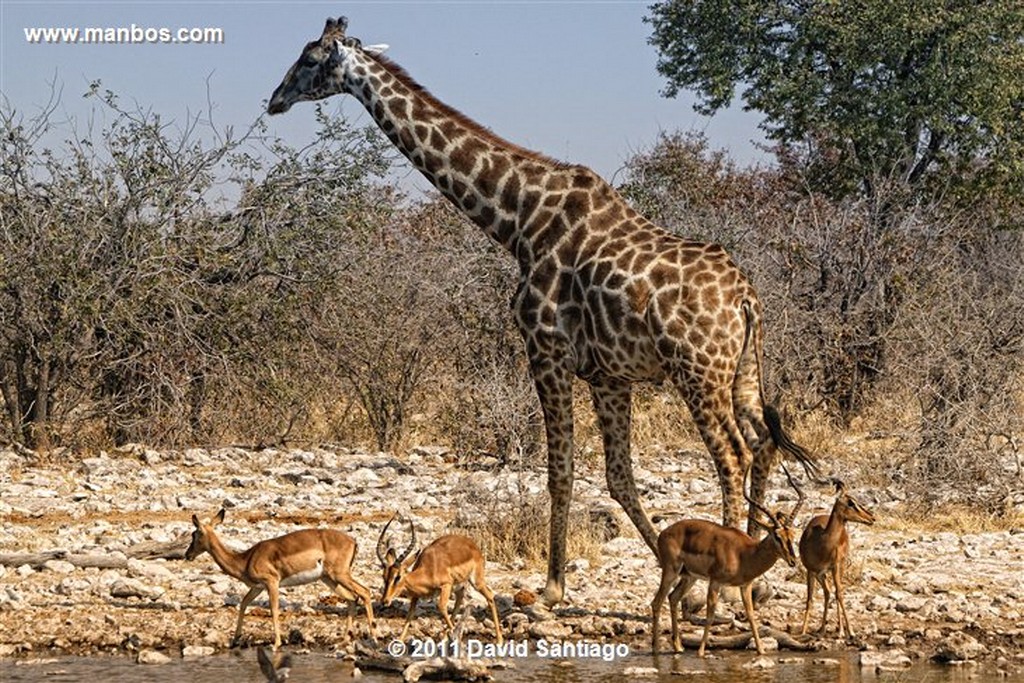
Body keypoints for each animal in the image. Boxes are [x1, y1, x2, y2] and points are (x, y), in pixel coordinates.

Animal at [268, 15, 819, 606]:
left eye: (308, 59)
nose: (274, 99)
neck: (517, 219)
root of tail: (745, 298)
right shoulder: (608, 374)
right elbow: (618, 475)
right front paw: (667, 570)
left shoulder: (545, 350)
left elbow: (560, 470)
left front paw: (555, 585)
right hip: (743, 370)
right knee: (763, 443)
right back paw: (755, 574)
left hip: (697, 370)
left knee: (732, 455)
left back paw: (724, 582)